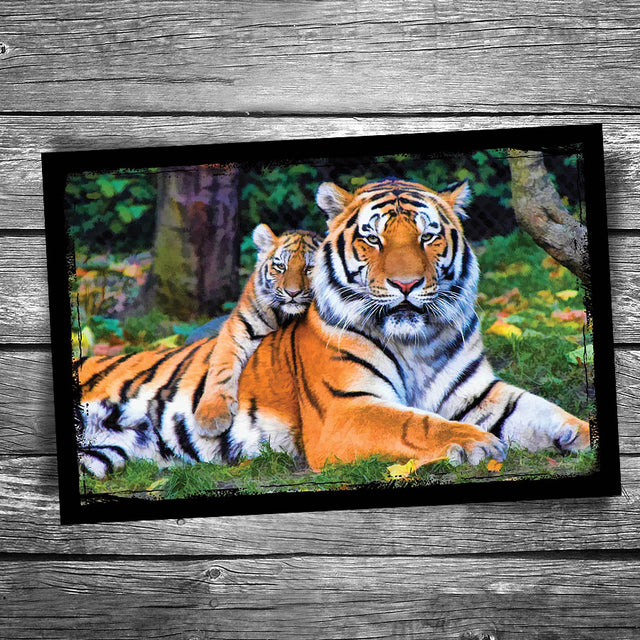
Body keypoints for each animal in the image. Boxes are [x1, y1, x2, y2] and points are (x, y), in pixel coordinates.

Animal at [76, 225, 321, 477]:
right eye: (280, 266)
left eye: (309, 268)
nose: (292, 293)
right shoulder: (238, 327)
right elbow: (222, 366)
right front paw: (211, 418)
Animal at [226, 178, 590, 472]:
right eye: (373, 239)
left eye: (428, 236)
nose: (406, 284)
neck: (415, 343)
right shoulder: (343, 409)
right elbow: (411, 423)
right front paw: (477, 442)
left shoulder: (477, 393)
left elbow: (545, 411)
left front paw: (587, 433)